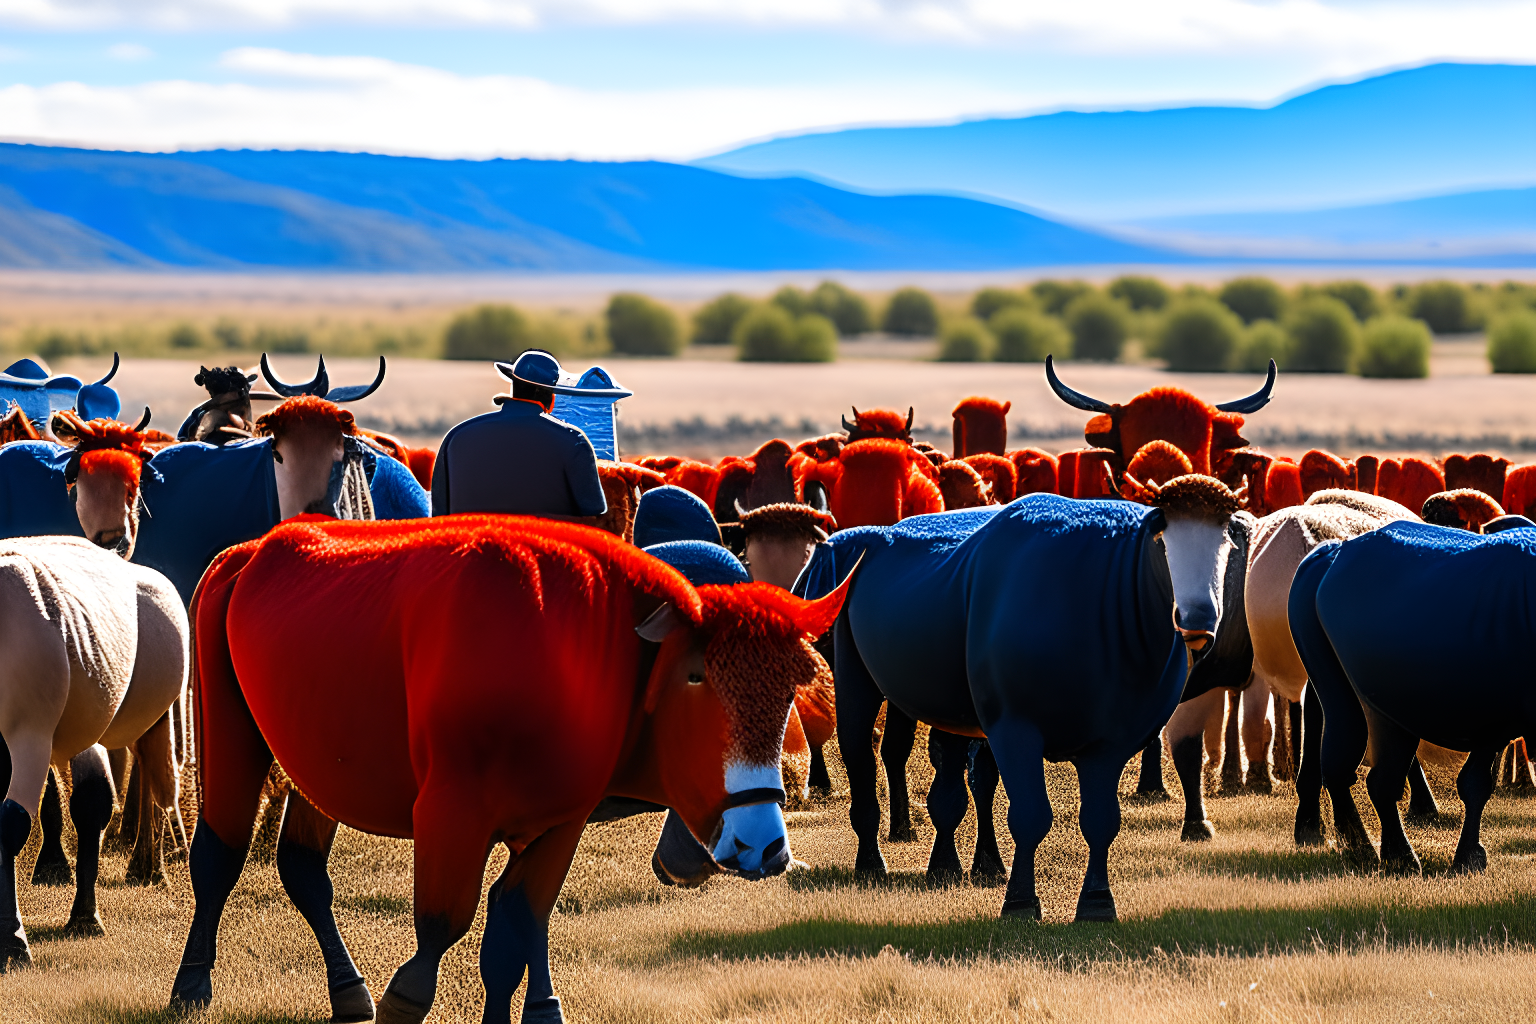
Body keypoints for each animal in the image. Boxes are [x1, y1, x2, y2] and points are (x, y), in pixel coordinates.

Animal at [798, 488, 1253, 921]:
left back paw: (953, 864)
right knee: (860, 753)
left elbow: (1101, 821)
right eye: (1162, 543)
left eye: (1226, 545)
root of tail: (869, 535)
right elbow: (1030, 816)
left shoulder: (1111, 741)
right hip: (855, 677)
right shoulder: (1013, 725)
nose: (1198, 617)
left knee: (948, 780)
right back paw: (872, 860)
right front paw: (1019, 901)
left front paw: (1096, 902)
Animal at [1296, 521, 1536, 872]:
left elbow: (1475, 783)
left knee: (1341, 765)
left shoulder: (1493, 717)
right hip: (1377, 709)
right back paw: (1388, 854)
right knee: (1369, 776)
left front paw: (1468, 856)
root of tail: (1338, 550)